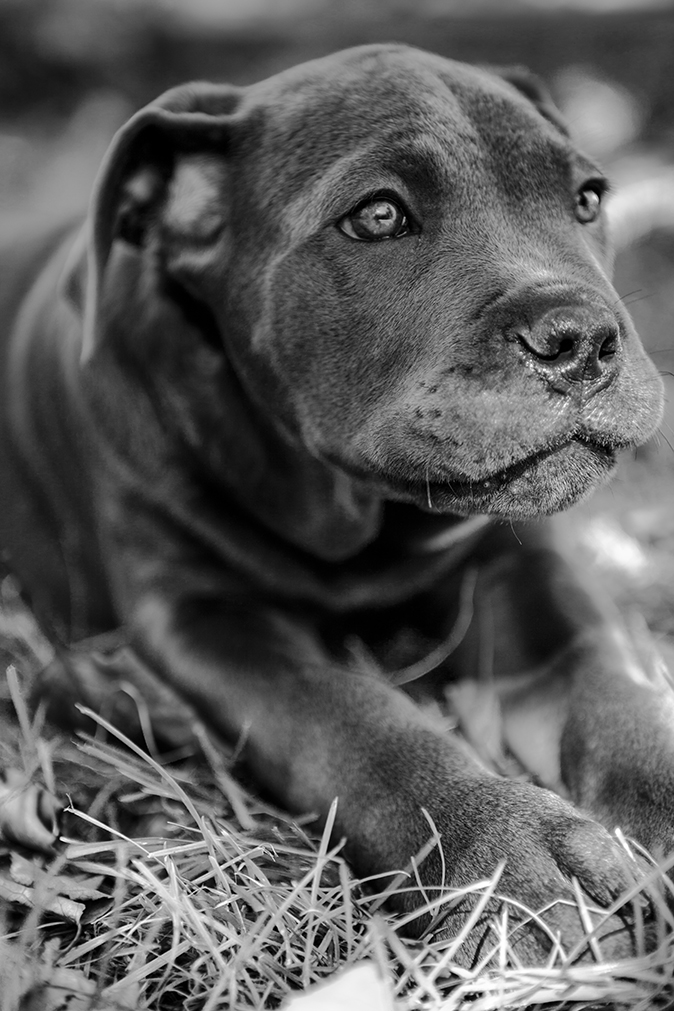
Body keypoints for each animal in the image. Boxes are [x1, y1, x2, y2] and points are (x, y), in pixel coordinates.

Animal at [0, 45, 670, 962]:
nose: (582, 338)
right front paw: (501, 853)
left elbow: (602, 664)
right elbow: (351, 721)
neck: (353, 515)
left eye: (589, 199)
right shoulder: (202, 616)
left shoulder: (514, 559)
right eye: (378, 216)